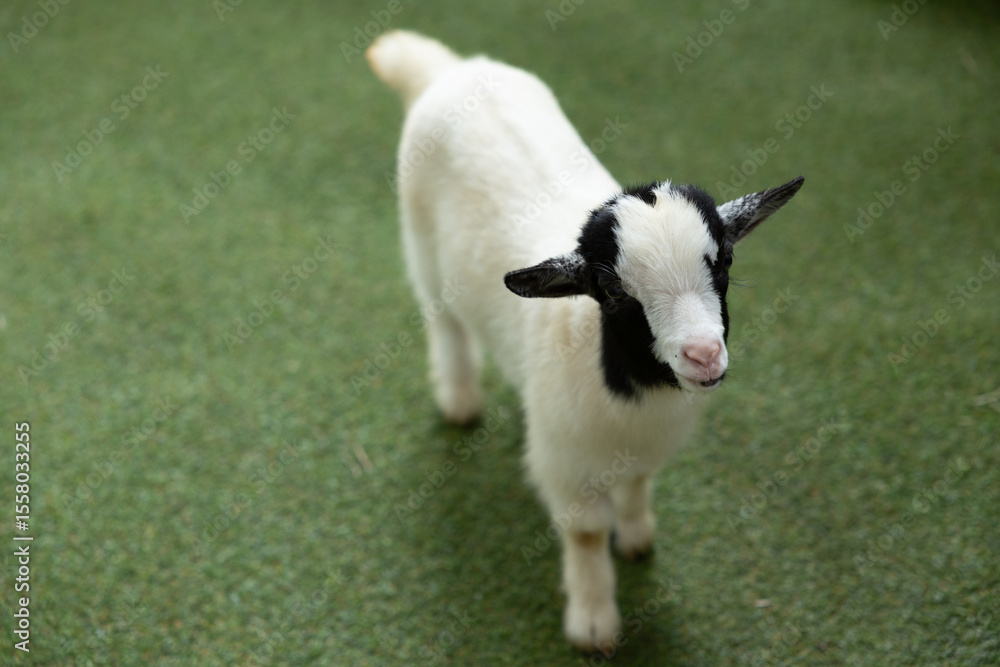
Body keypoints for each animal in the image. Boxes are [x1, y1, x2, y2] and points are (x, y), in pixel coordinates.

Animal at [366, 30, 803, 653]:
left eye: (723, 263)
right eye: (615, 292)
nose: (703, 354)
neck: (631, 389)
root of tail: (448, 70)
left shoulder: (640, 449)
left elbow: (638, 482)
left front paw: (638, 535)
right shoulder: (564, 463)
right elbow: (588, 536)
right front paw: (594, 622)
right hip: (422, 247)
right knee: (444, 321)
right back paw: (459, 399)